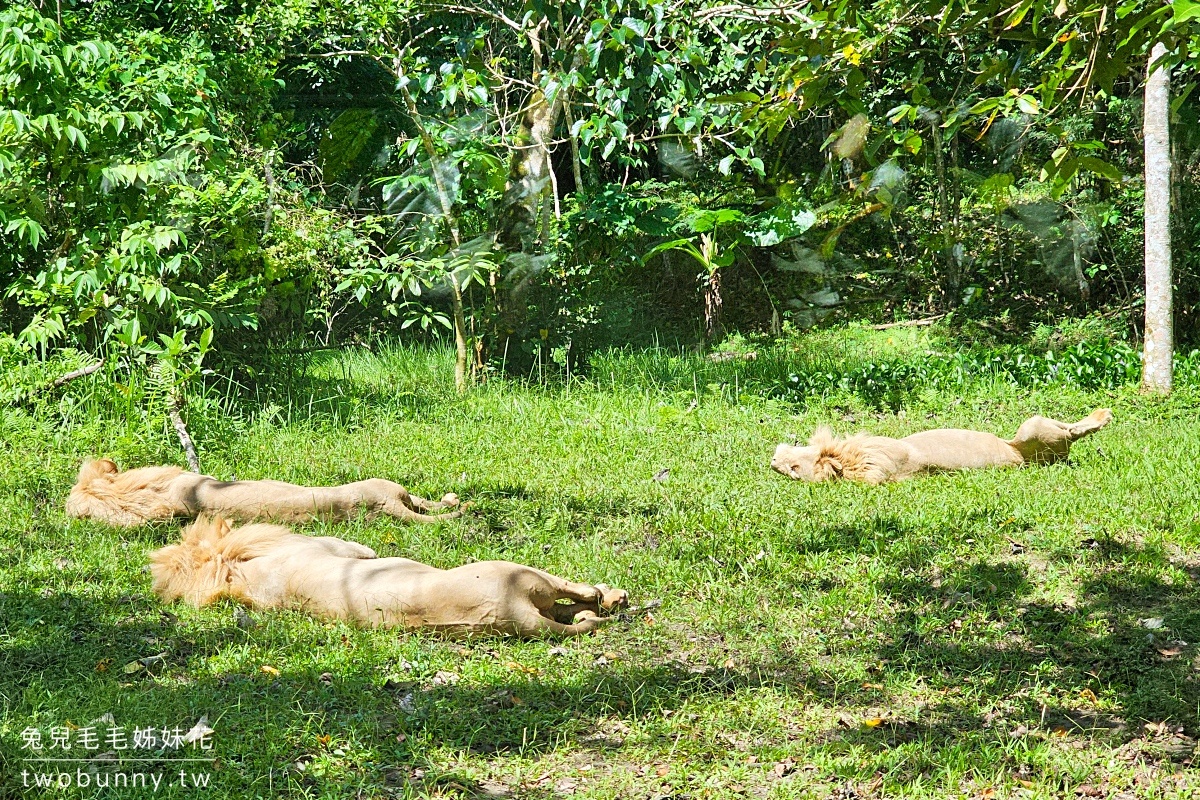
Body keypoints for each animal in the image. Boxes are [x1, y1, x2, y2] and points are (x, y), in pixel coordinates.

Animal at [148, 515, 628, 642]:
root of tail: (511, 613)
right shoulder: (344, 547)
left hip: (534, 608)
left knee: (574, 617)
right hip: (520, 575)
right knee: (575, 595)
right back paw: (613, 598)